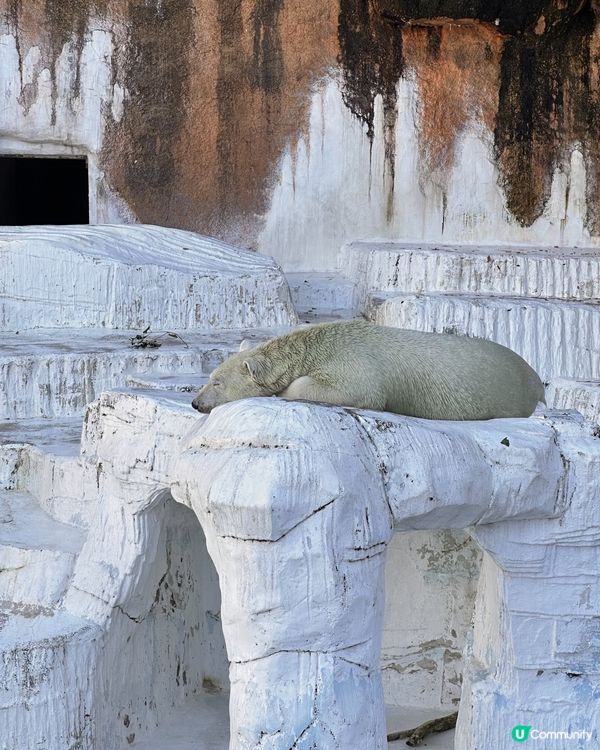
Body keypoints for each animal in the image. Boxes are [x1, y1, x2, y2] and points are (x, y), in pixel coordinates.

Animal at [191, 318, 544, 420]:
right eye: (208, 379)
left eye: (217, 382)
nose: (196, 403)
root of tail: (536, 380)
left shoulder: (353, 363)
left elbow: (354, 390)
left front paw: (285, 392)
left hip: (506, 393)